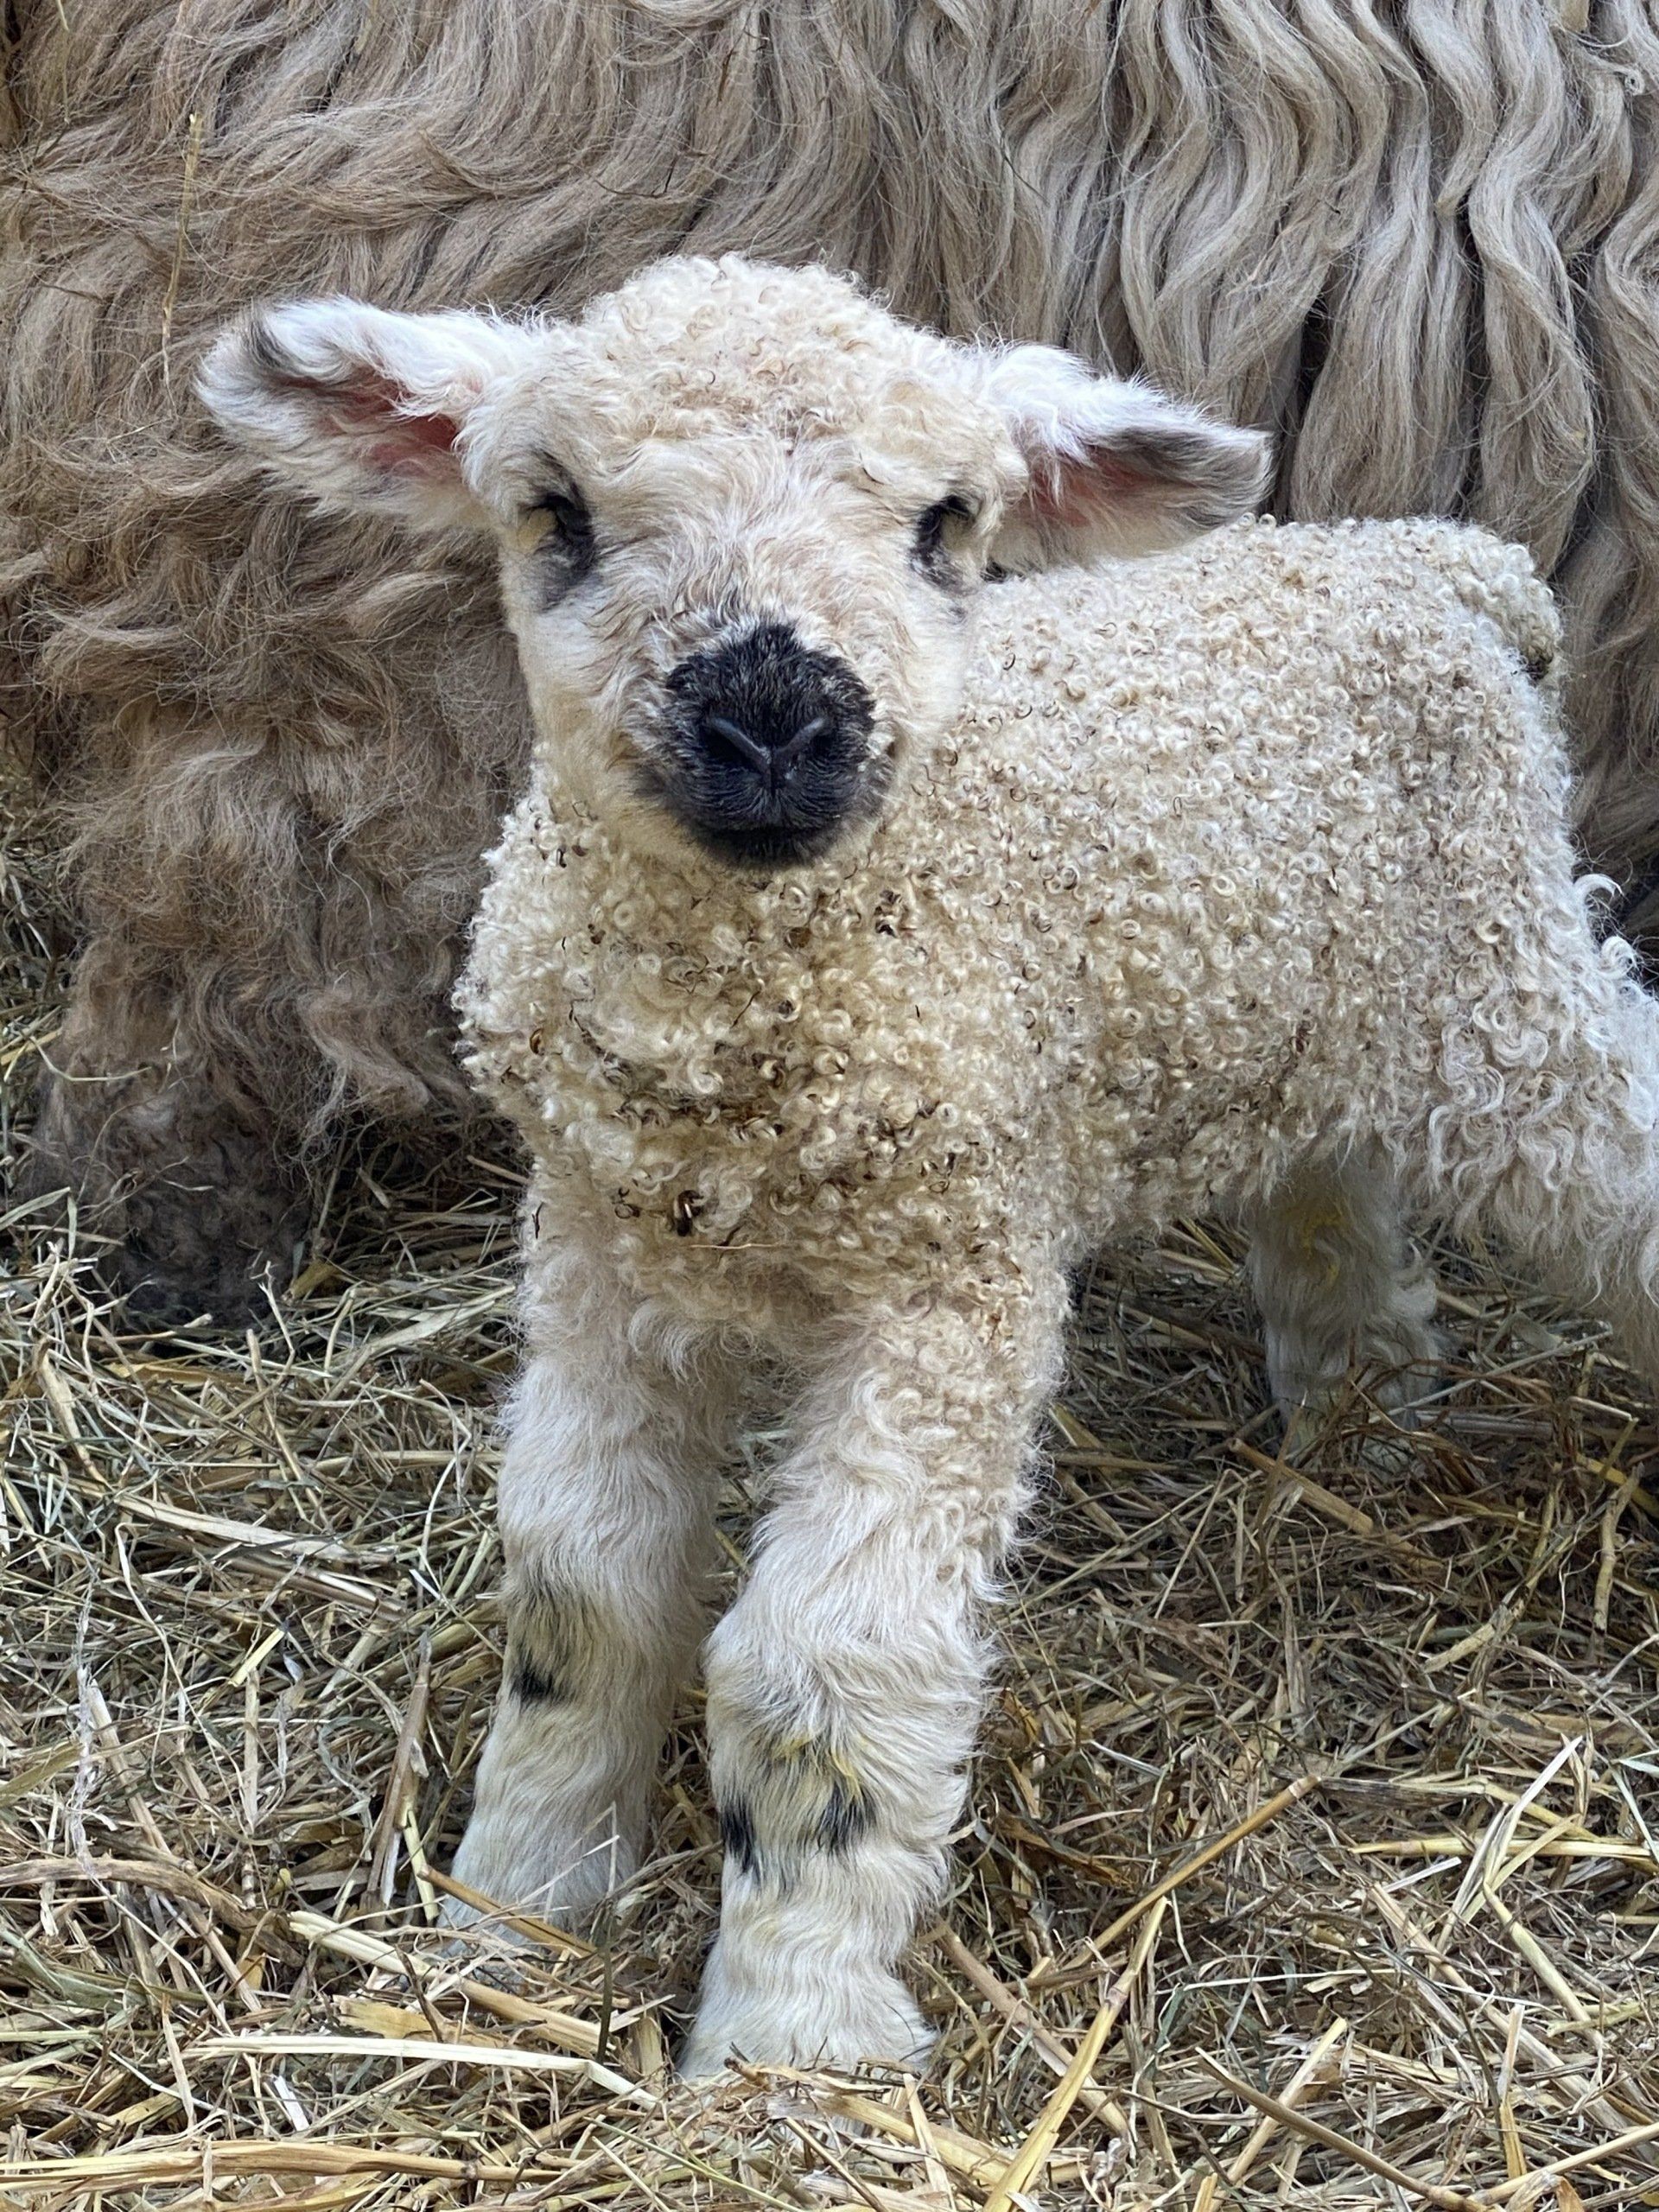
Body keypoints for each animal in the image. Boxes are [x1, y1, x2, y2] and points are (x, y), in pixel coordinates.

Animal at [201, 253, 1659, 2073]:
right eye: (560, 513)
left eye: (948, 524)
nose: (774, 716)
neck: (744, 1068)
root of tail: (1433, 561)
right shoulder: (599, 1253)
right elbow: (580, 1588)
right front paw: (511, 1915)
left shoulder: (947, 1291)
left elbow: (823, 1675)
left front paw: (790, 2046)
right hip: (1297, 1012)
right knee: (1338, 1219)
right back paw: (1359, 1439)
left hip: (1508, 999)